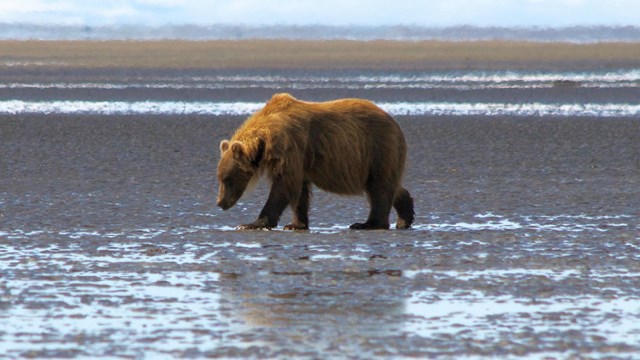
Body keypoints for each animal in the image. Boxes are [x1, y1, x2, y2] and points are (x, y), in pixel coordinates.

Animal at [216, 93, 416, 231]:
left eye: (227, 179)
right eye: (219, 178)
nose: (219, 202)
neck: (265, 141)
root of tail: (394, 122)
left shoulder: (289, 146)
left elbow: (284, 186)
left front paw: (251, 223)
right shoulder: (300, 159)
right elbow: (299, 191)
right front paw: (296, 224)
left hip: (378, 148)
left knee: (379, 187)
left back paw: (367, 223)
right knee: (391, 186)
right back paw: (404, 218)